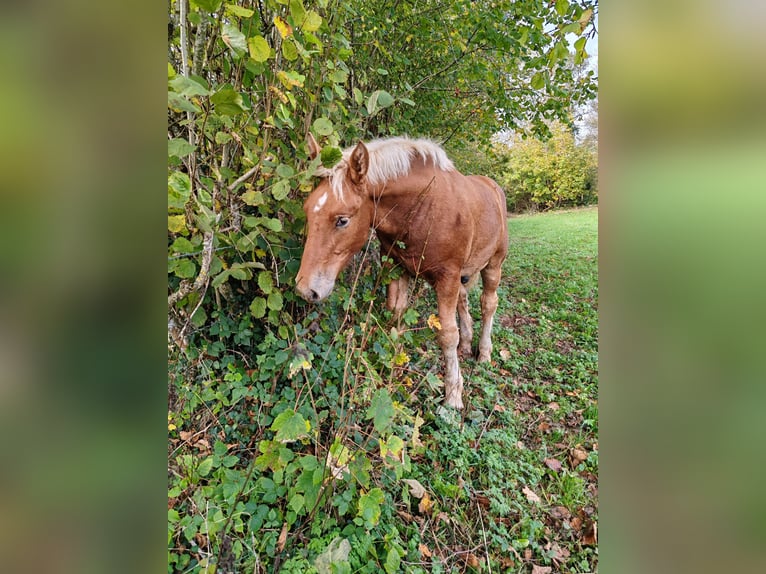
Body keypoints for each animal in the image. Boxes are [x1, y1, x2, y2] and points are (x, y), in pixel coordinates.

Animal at [296, 134, 510, 410]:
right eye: (307, 209)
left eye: (342, 220)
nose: (305, 289)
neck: (422, 207)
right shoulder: (397, 268)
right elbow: (395, 318)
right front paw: (395, 372)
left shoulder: (447, 277)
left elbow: (447, 334)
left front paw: (453, 394)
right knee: (464, 301)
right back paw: (466, 344)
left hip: (494, 264)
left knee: (488, 303)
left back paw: (484, 352)